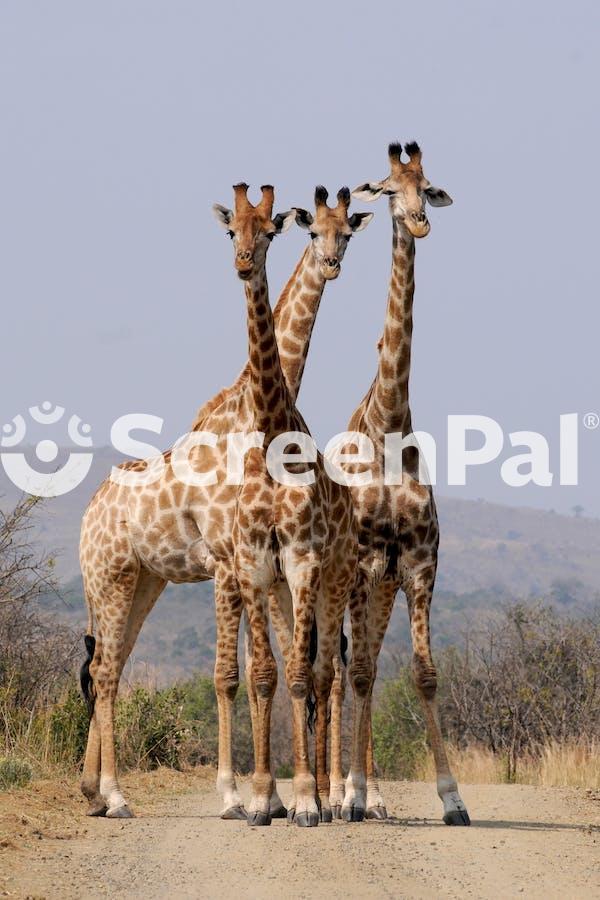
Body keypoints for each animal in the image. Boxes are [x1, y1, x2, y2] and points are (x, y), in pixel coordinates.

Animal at [78, 181, 370, 824]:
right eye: (232, 230)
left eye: (347, 233)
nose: (331, 264)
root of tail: (88, 513)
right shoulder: (227, 562)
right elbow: (229, 675)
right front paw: (240, 796)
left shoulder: (264, 565)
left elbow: (276, 668)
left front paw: (280, 798)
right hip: (110, 578)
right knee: (105, 670)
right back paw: (114, 794)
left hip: (143, 581)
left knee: (110, 664)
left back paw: (93, 790)